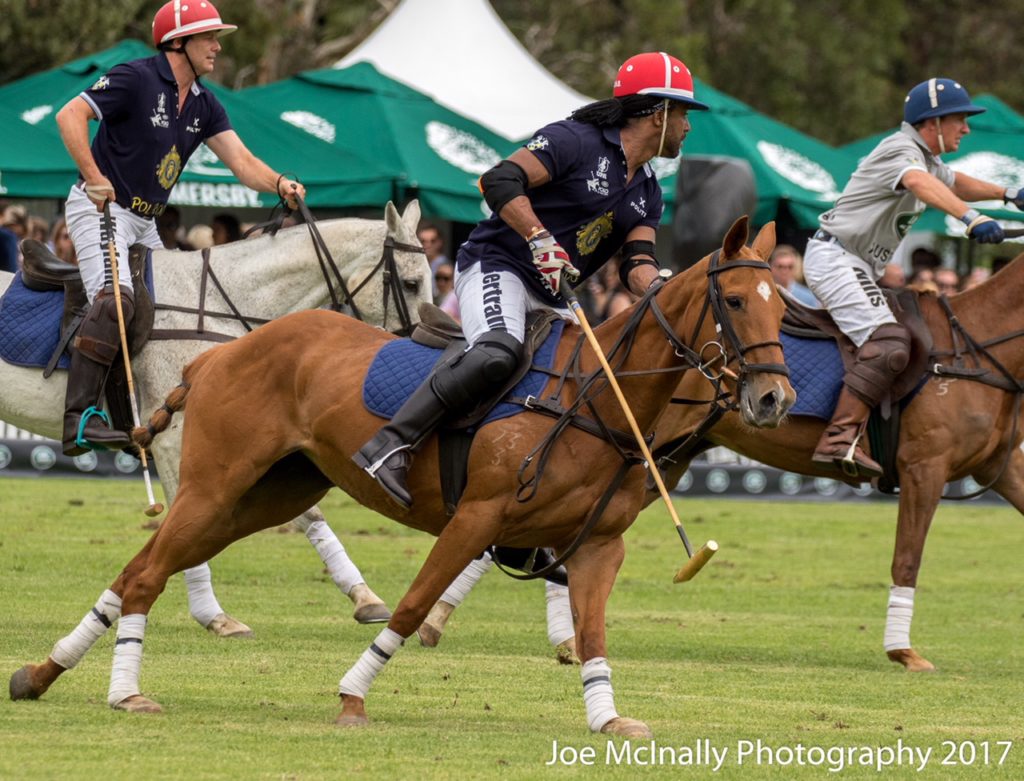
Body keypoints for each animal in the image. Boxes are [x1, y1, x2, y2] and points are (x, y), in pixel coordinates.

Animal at [0, 199, 430, 634]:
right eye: (411, 283)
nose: (425, 351)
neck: (220, 308)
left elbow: (307, 513)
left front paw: (366, 598)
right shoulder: (174, 439)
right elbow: (182, 521)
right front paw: (214, 616)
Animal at [651, 248, 1024, 671]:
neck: (972, 353)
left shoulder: (999, 465)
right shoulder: (924, 467)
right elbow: (907, 558)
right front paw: (903, 651)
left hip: (669, 456)